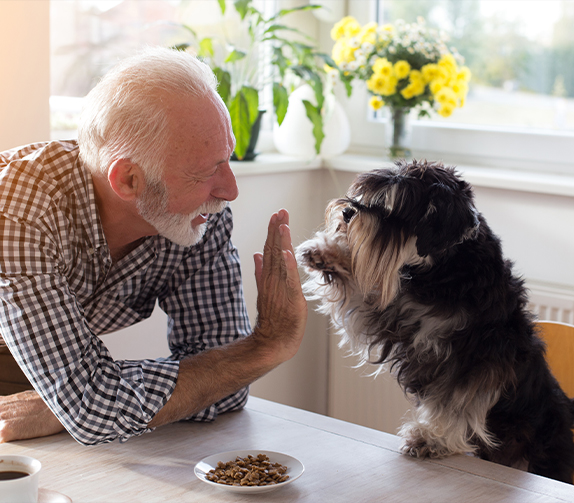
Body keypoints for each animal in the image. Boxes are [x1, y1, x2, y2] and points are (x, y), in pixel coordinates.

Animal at [296, 160, 574, 484]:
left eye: (395, 208)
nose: (348, 212)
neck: (444, 269)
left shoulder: (476, 359)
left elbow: (456, 403)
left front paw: (431, 439)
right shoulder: (394, 314)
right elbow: (362, 290)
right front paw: (325, 252)